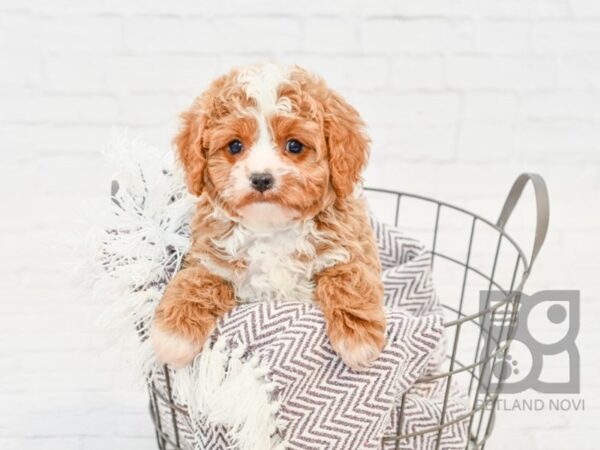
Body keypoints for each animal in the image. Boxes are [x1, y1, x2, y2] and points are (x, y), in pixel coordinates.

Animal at [150, 64, 384, 372]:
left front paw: (359, 340)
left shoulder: (350, 248)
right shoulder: (211, 258)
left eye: (294, 146)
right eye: (235, 146)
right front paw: (172, 336)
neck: (272, 228)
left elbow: (350, 277)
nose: (261, 179)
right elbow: (195, 281)